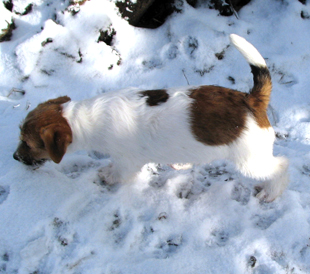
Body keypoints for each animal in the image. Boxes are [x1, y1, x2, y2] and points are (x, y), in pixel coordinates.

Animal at [12, 34, 288, 201]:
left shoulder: (127, 160)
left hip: (251, 161)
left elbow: (119, 172)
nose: (14, 158)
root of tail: (251, 100)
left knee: (281, 166)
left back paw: (271, 193)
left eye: (28, 143)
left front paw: (107, 176)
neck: (80, 119)